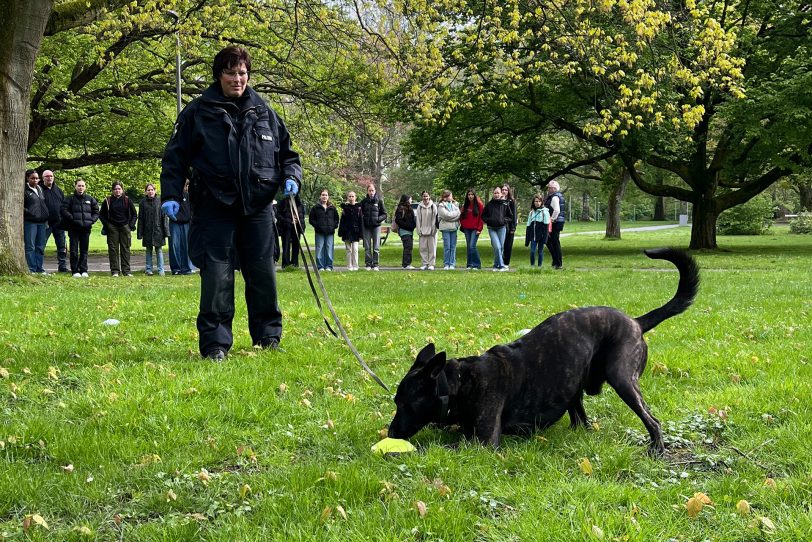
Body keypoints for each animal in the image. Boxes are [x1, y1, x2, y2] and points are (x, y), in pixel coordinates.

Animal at [386, 249, 696, 452]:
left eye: (405, 403)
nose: (391, 432)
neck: (461, 381)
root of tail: (636, 322)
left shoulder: (483, 441)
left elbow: (442, 447)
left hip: (623, 379)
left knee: (652, 420)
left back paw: (656, 449)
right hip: (575, 384)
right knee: (581, 418)